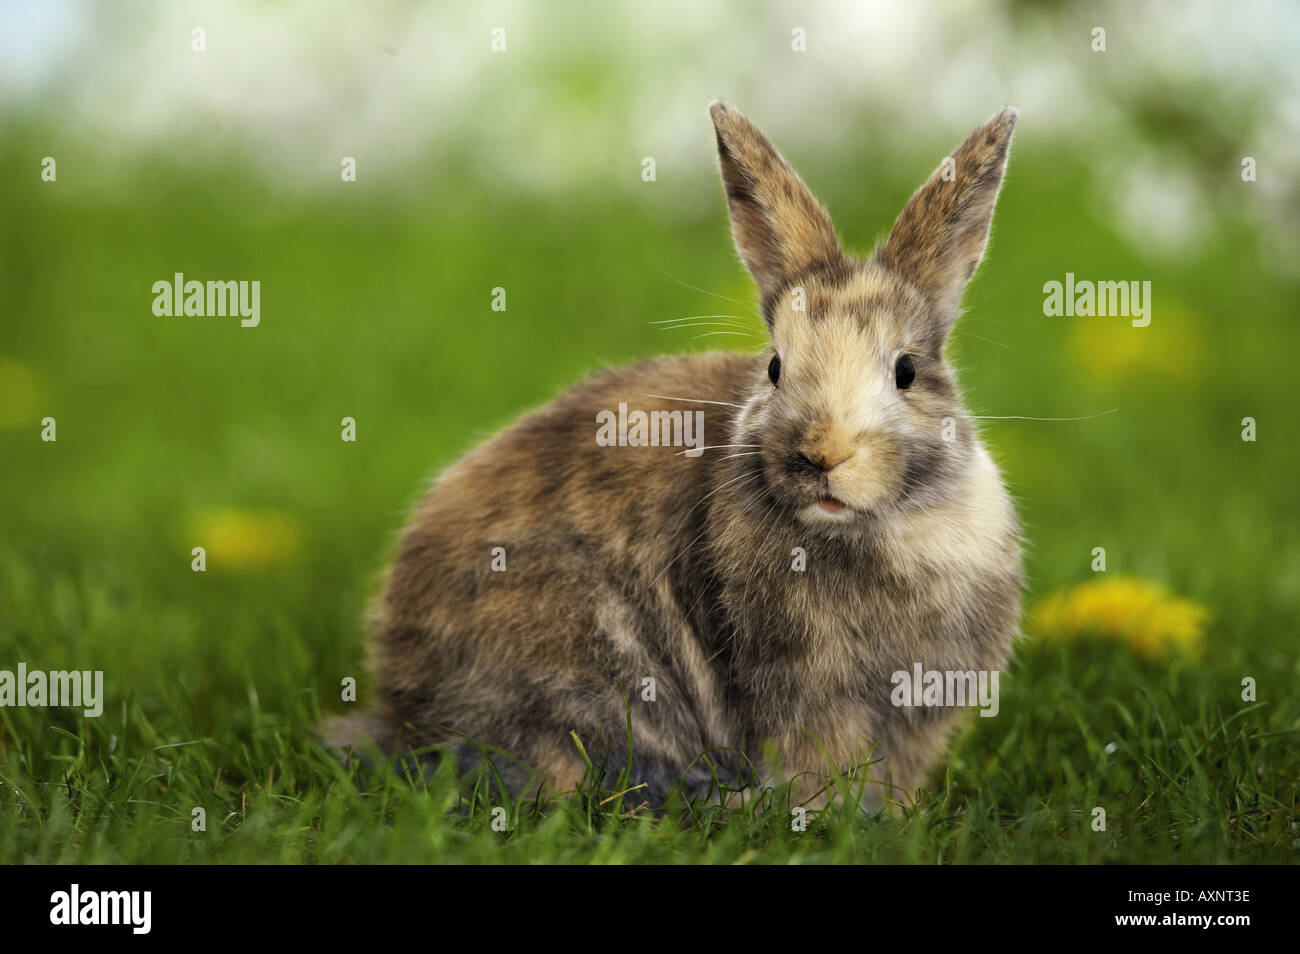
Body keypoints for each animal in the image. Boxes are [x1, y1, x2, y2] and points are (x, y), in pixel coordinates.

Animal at [330, 101, 1023, 811]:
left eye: (906, 371)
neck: (862, 532)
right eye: (775, 367)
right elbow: (818, 764)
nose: (822, 454)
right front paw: (828, 814)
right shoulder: (803, 702)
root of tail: (401, 710)